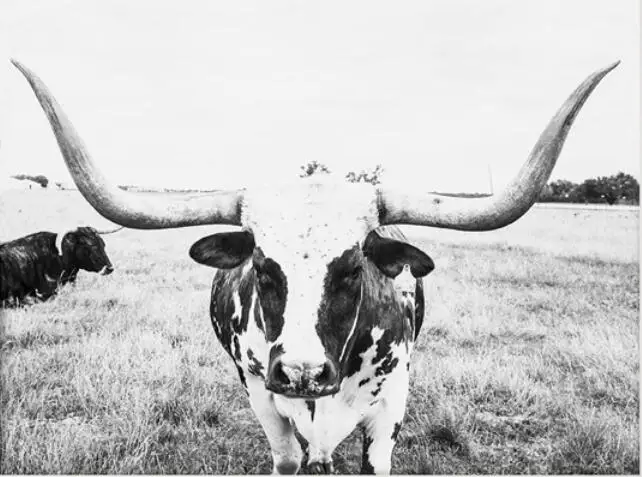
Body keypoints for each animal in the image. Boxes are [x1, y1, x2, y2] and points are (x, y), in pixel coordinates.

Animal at [11, 58, 618, 473]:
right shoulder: (263, 397)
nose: (303, 372)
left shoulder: (390, 404)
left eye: (352, 267)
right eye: (262, 266)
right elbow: (287, 457)